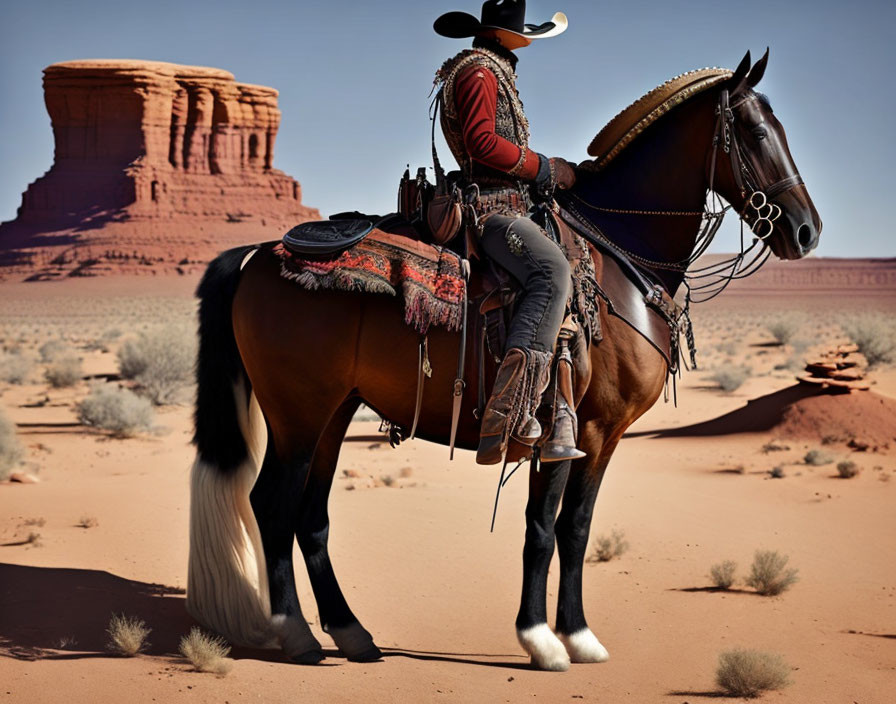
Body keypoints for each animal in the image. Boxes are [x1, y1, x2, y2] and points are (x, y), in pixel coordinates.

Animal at [187, 51, 820, 672]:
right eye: (757, 131)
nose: (806, 230)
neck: (621, 261)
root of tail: (256, 254)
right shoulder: (573, 428)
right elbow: (545, 527)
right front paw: (542, 639)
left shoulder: (604, 434)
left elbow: (576, 528)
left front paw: (579, 635)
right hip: (298, 414)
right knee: (273, 505)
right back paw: (297, 635)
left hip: (335, 412)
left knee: (311, 516)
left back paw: (352, 633)